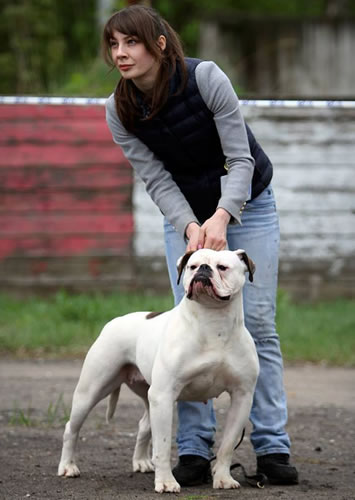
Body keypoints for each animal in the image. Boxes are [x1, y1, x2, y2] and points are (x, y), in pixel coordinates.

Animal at [57, 249, 258, 492]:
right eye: (193, 266)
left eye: (222, 267)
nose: (203, 270)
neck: (213, 323)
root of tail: (114, 321)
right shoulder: (163, 396)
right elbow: (162, 447)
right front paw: (166, 482)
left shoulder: (242, 397)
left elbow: (227, 445)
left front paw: (223, 478)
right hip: (91, 390)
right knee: (72, 427)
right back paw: (67, 466)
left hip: (148, 394)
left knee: (144, 425)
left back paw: (141, 462)